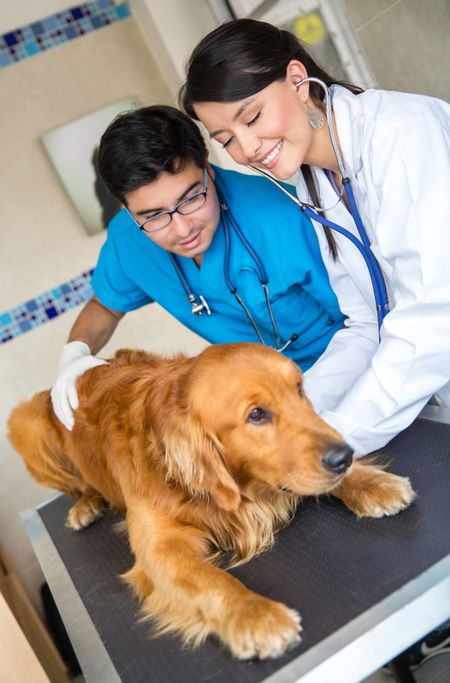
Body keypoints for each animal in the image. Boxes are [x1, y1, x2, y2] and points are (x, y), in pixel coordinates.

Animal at [7, 344, 414, 660]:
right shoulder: (160, 548)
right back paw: (86, 505)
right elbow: (213, 580)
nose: (343, 456)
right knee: (78, 485)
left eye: (299, 388)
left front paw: (369, 482)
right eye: (256, 415)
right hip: (24, 423)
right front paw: (255, 614)